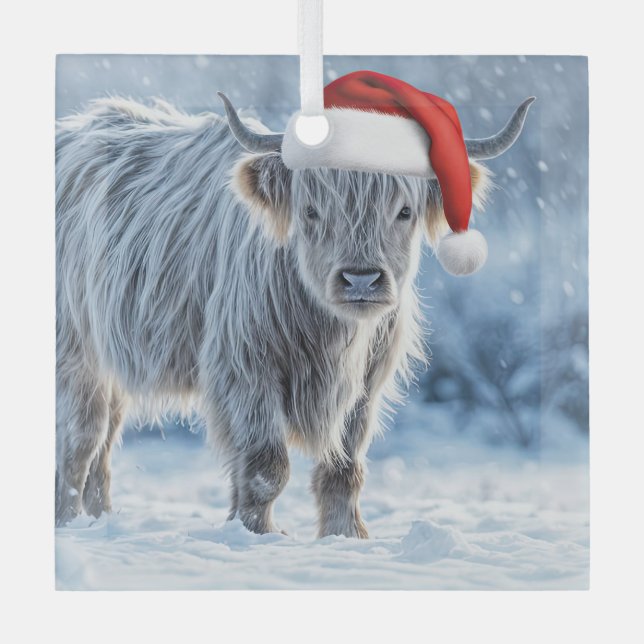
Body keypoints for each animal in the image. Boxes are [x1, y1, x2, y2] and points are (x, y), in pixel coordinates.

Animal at [55, 88, 533, 537]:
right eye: (310, 210)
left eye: (404, 211)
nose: (361, 280)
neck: (329, 332)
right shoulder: (246, 366)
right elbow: (266, 466)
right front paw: (258, 533)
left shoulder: (366, 381)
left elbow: (344, 466)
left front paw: (345, 534)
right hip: (75, 351)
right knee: (80, 439)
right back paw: (68, 522)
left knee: (103, 445)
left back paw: (99, 518)